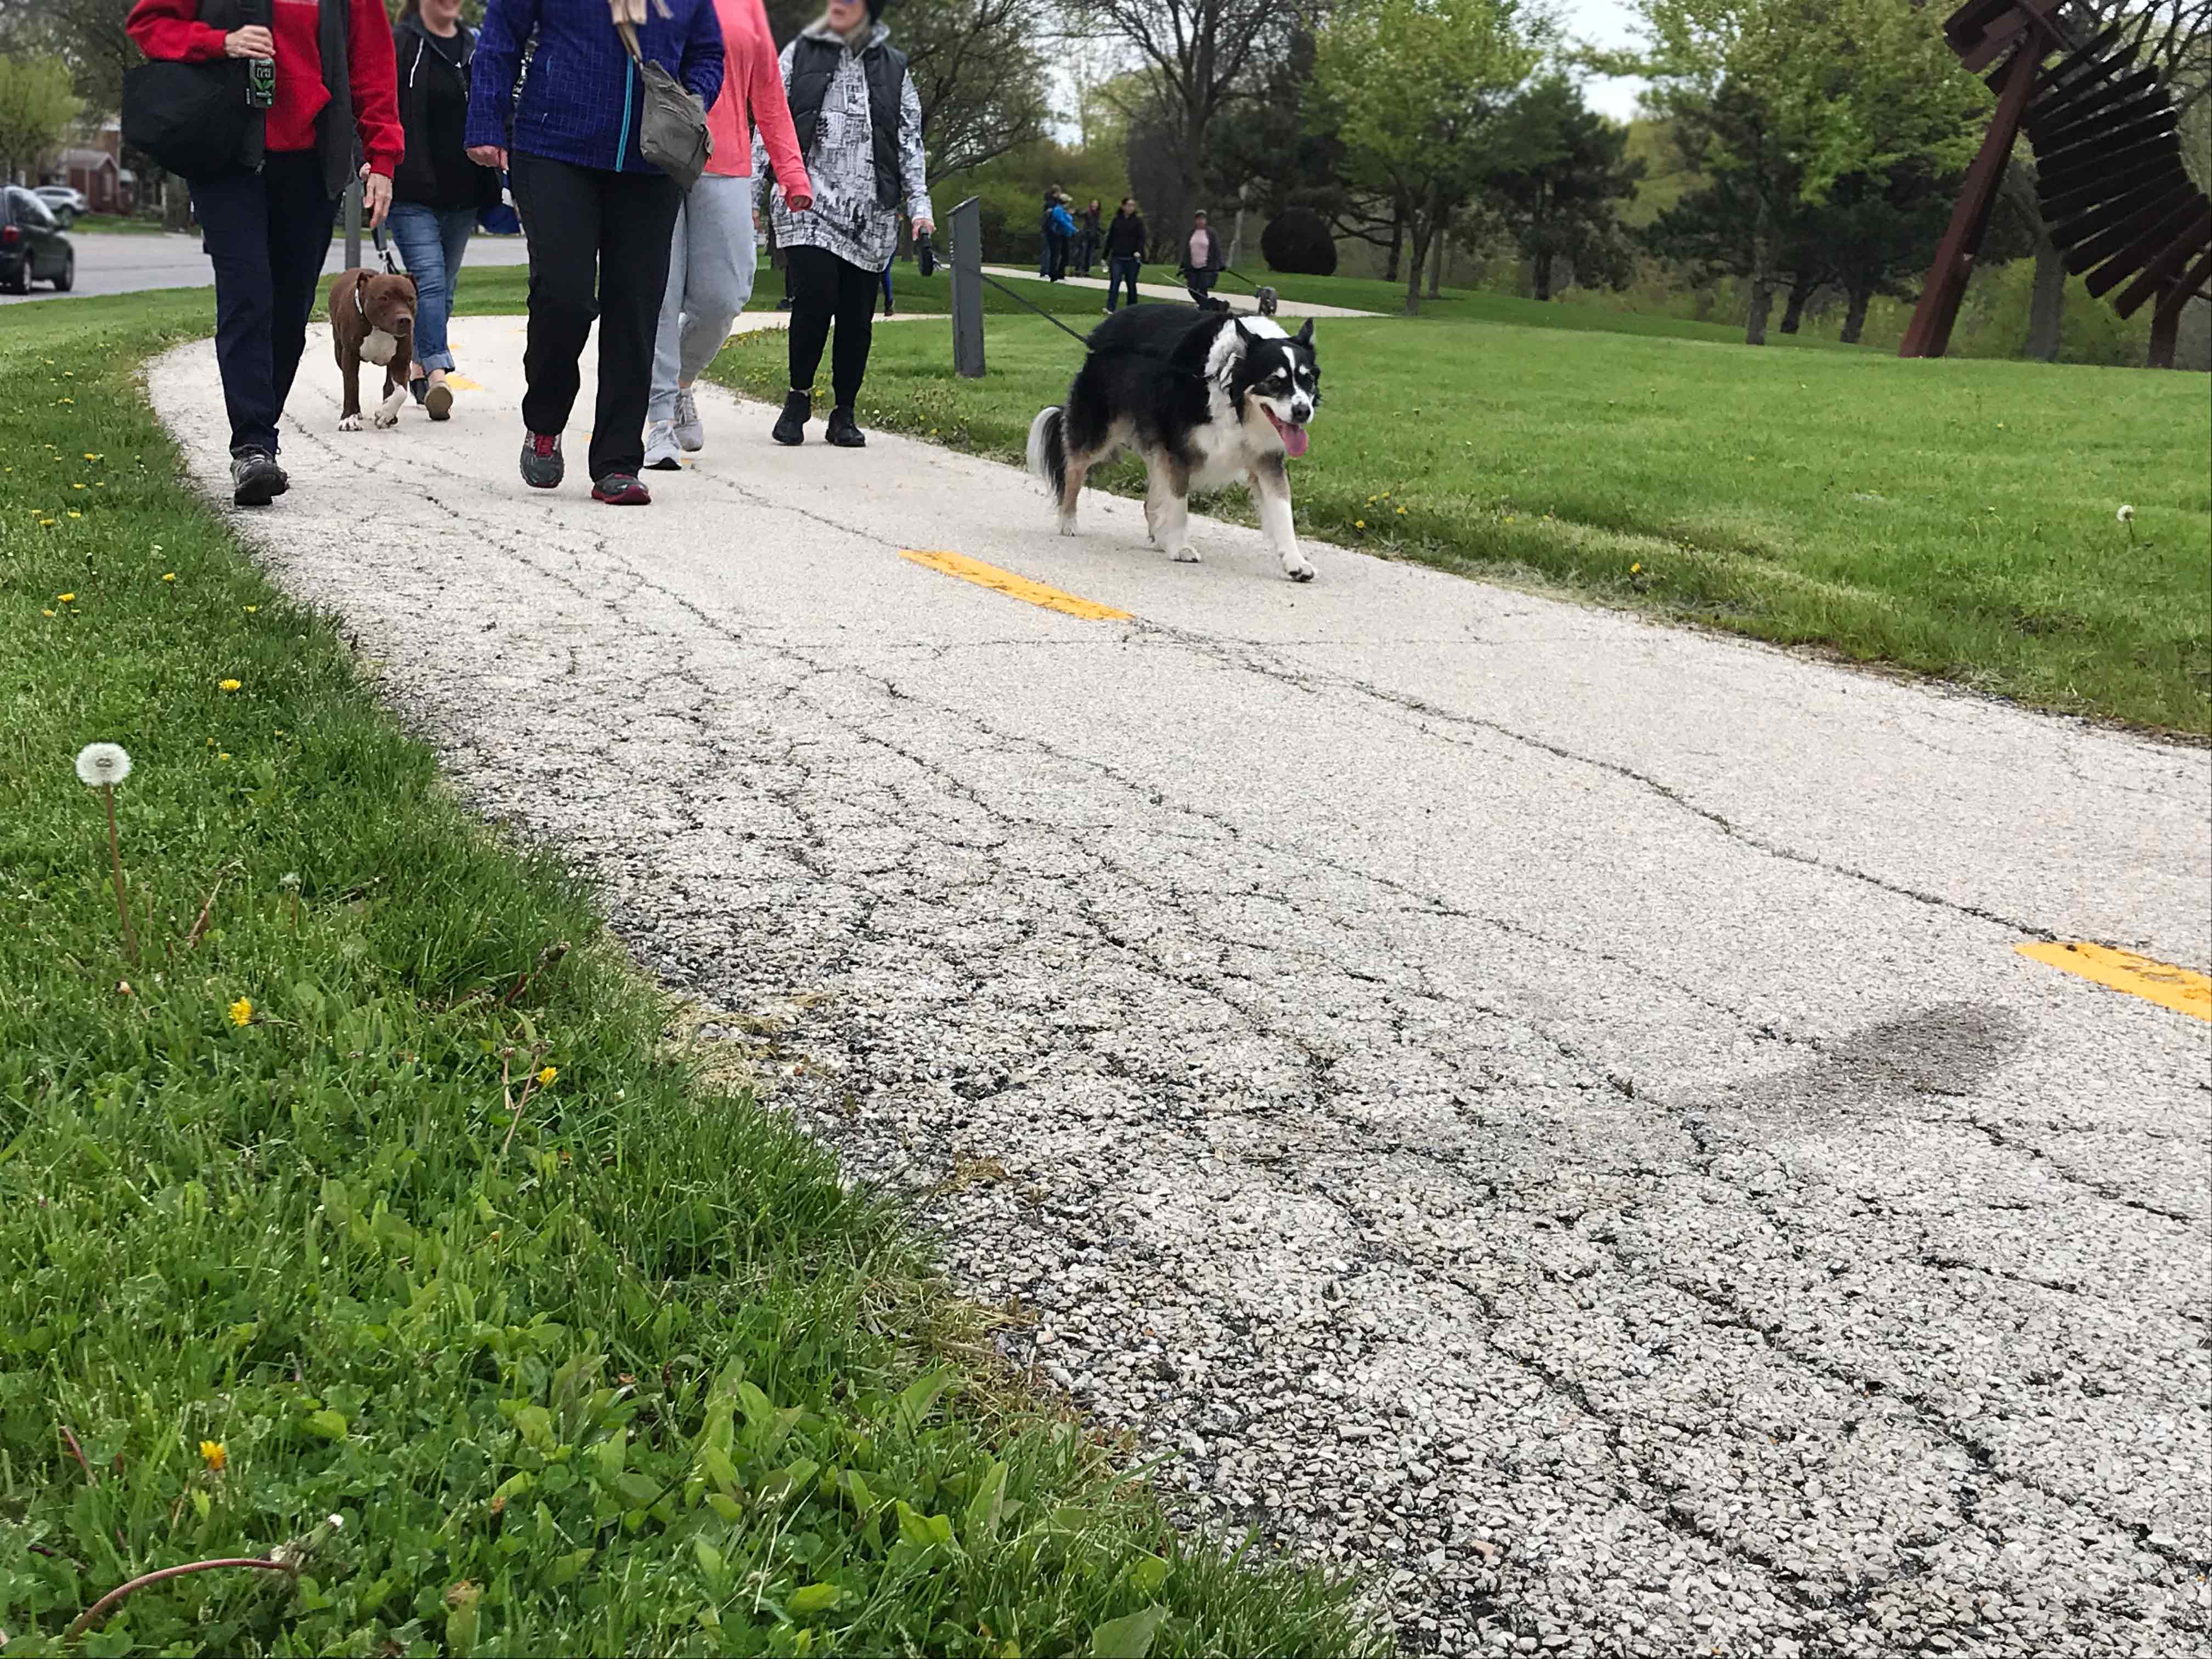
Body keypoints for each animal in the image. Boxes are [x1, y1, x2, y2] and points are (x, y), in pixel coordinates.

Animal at [327, 267, 418, 436]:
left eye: (410, 299)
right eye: (384, 298)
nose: (405, 320)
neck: (379, 329)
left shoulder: (402, 360)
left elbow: (401, 392)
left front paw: (385, 413)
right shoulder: (350, 356)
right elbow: (351, 386)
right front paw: (349, 419)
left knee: (389, 386)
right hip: (339, 352)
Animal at [1030, 305, 1318, 584]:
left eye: (1308, 380)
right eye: (1274, 381)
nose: (1303, 412)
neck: (1224, 384)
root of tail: (1100, 333)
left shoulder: (1267, 458)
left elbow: (1282, 510)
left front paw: (1296, 562)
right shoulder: (1179, 450)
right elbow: (1179, 502)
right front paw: (1180, 548)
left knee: (1150, 499)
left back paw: (1159, 536)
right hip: (1100, 431)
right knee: (1074, 471)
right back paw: (1068, 522)